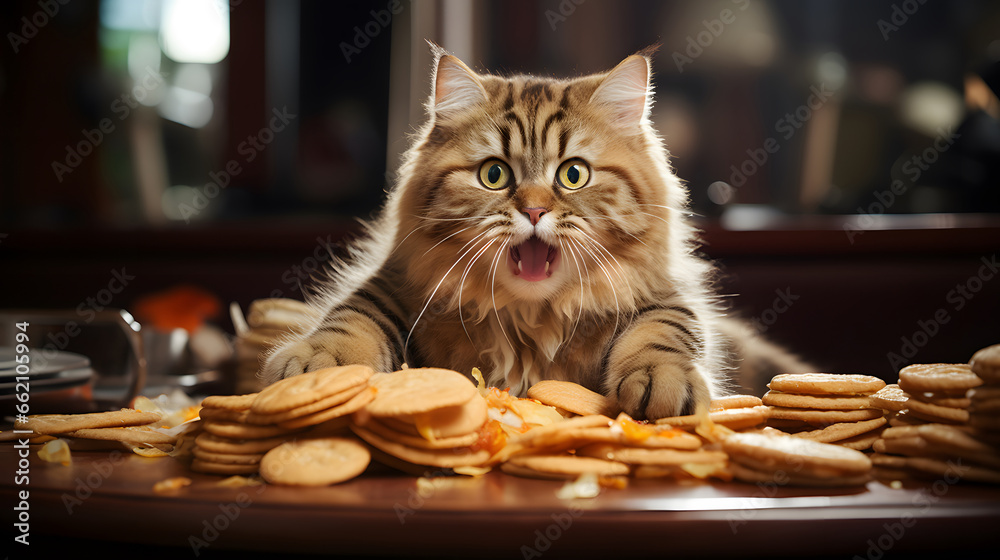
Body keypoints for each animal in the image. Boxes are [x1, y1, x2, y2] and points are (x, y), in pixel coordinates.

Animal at [262, 44, 808, 420]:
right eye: (494, 175)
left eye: (573, 175)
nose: (534, 210)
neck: (528, 316)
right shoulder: (395, 284)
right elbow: (351, 319)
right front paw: (318, 368)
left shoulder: (660, 295)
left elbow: (664, 333)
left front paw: (663, 382)